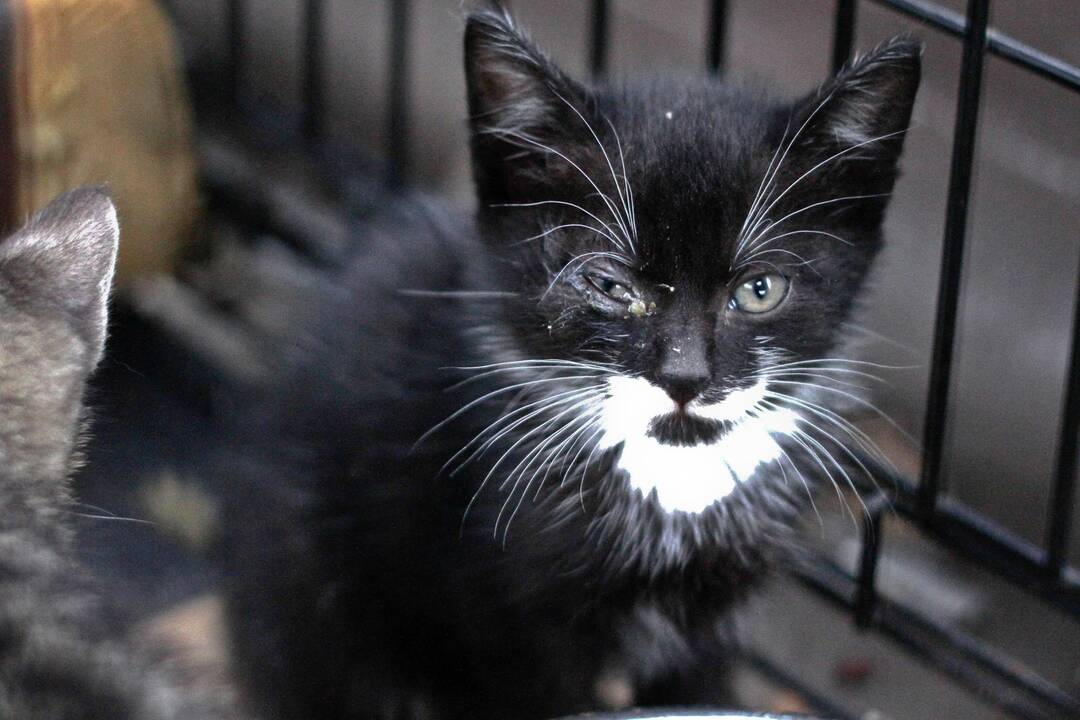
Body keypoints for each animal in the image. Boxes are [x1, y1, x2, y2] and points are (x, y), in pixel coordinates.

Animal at [225, 11, 920, 720]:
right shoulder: (499, 615)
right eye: (610, 286)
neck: (672, 485)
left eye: (760, 290)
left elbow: (697, 687)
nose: (686, 377)